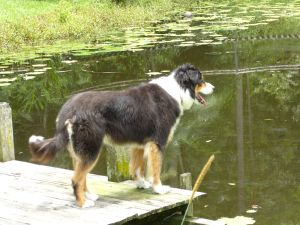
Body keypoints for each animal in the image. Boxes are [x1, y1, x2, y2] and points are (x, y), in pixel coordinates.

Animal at [28, 63, 213, 207]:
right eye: (200, 79)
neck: (177, 90)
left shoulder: (140, 143)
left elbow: (137, 168)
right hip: (91, 149)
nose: (214, 87)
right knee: (76, 179)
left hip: (80, 150)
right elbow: (155, 169)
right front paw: (159, 189)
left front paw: (141, 184)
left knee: (81, 176)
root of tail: (68, 108)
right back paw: (83, 203)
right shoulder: (157, 143)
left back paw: (89, 196)